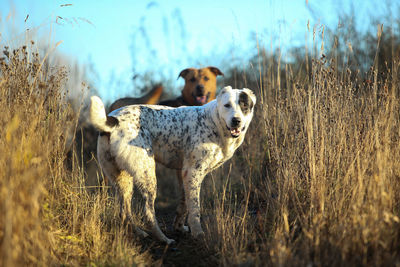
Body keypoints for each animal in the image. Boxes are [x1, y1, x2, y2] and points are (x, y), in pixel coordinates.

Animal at [90, 86, 256, 245]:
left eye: (244, 105)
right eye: (227, 105)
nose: (236, 120)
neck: (213, 121)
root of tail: (114, 119)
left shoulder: (184, 175)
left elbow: (183, 204)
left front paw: (179, 227)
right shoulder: (193, 173)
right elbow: (194, 208)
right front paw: (198, 234)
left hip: (122, 180)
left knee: (124, 212)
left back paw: (140, 233)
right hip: (147, 175)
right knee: (148, 214)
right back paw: (164, 239)